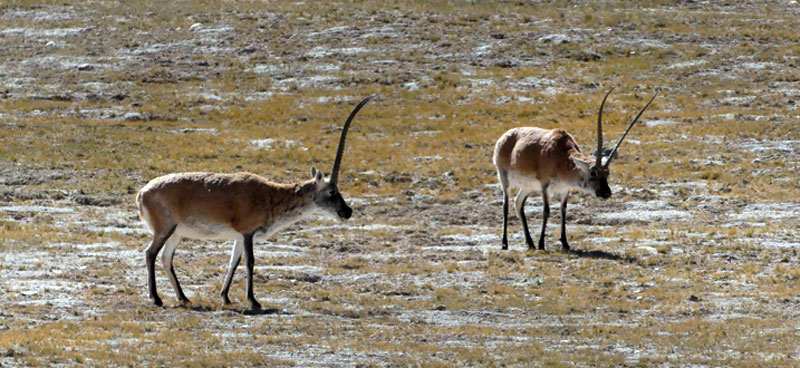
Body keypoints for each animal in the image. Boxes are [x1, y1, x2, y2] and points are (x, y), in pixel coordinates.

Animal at [136, 94, 376, 310]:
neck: (270, 194)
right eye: (332, 191)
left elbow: (233, 261)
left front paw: (226, 298)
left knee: (166, 258)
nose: (347, 212)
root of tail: (142, 193)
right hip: (165, 229)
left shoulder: (239, 237)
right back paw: (156, 299)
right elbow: (250, 262)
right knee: (150, 254)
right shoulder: (247, 233)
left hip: (176, 233)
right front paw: (253, 301)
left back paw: (184, 298)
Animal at [494, 87, 656, 252]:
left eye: (607, 173)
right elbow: (546, 211)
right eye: (593, 173)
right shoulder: (545, 185)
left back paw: (530, 243)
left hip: (528, 187)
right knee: (506, 205)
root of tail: (504, 137)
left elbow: (563, 210)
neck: (561, 155)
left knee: (518, 203)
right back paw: (505, 243)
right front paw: (542, 244)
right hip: (504, 178)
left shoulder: (565, 188)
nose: (606, 193)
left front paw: (565, 243)